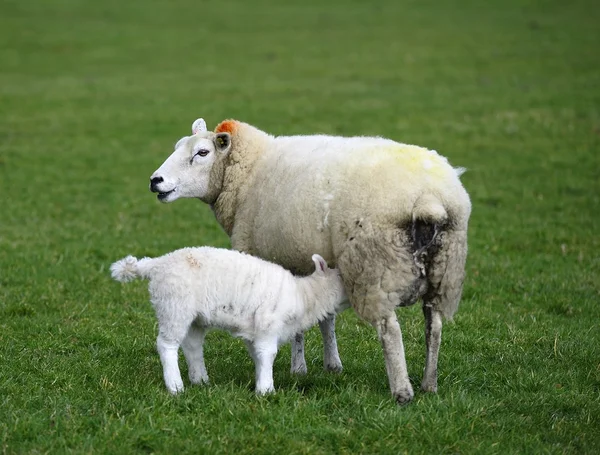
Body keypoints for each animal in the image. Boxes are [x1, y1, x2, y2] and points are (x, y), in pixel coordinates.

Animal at [110, 246, 350, 396]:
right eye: (342, 277)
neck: (305, 295)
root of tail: (156, 264)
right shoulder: (268, 325)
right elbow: (268, 354)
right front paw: (267, 390)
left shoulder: (255, 331)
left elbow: (258, 356)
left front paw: (259, 382)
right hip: (174, 305)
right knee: (166, 345)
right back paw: (176, 387)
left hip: (195, 317)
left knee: (192, 346)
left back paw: (200, 380)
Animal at [148, 118, 472, 406]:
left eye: (202, 153)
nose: (155, 181)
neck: (248, 172)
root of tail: (430, 198)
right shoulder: (309, 260)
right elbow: (325, 318)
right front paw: (331, 365)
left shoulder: (274, 259)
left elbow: (299, 322)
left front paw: (297, 368)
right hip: (445, 271)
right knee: (434, 325)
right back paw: (429, 384)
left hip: (374, 269)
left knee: (390, 330)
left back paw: (402, 391)